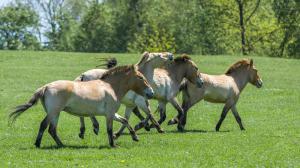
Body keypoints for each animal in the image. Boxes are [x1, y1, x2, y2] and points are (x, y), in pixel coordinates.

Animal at [10, 65, 154, 148]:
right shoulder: (109, 114)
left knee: (51, 129)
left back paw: (60, 145)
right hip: (54, 112)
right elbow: (109, 129)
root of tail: (46, 87)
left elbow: (125, 121)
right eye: (141, 77)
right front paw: (113, 144)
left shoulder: (112, 113)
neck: (110, 87)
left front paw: (135, 137)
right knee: (45, 126)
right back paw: (40, 144)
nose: (151, 93)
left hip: (55, 113)